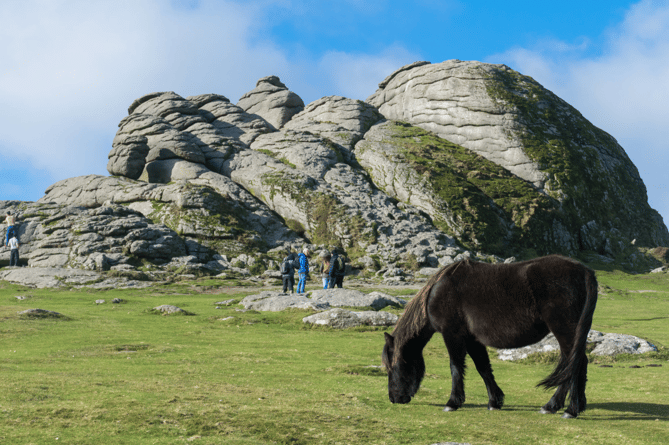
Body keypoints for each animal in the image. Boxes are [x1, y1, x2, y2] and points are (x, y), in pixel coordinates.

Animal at [384, 255, 596, 418]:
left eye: (394, 366)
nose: (394, 399)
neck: (439, 291)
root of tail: (584, 271)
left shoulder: (452, 334)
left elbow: (455, 367)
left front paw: (452, 402)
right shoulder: (472, 339)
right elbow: (483, 367)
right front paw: (495, 401)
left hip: (564, 330)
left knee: (574, 364)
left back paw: (562, 408)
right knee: (577, 363)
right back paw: (573, 406)